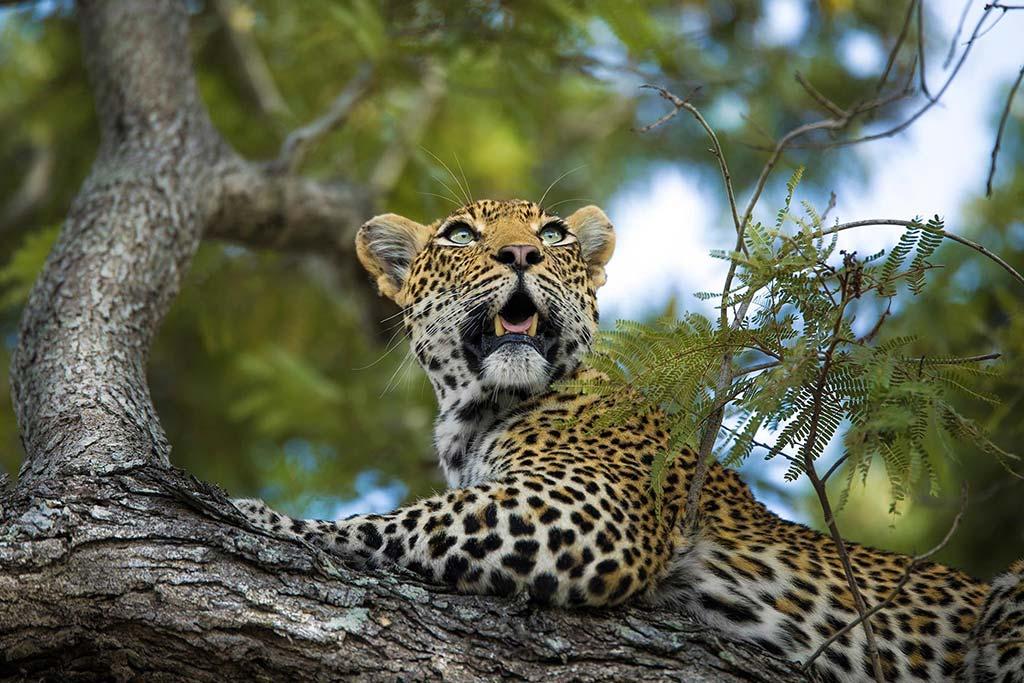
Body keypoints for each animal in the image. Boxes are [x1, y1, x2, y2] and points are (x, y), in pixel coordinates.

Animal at [235, 198, 1024, 682]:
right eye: (460, 235)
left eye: (553, 233)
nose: (521, 255)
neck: (470, 413)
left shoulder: (589, 507)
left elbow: (391, 522)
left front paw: (259, 516)